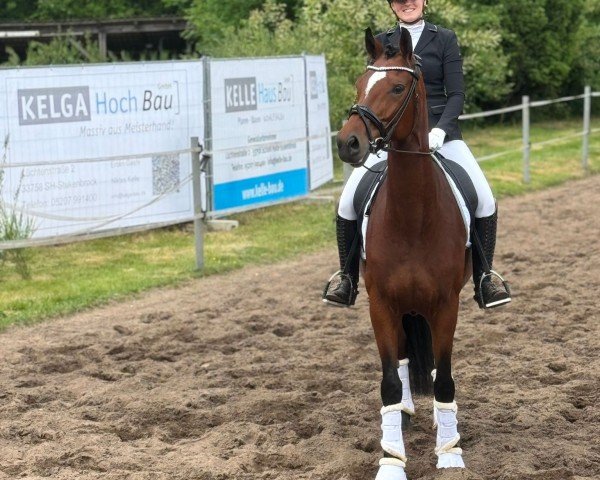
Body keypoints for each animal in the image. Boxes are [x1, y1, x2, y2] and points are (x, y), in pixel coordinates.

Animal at [338, 28, 468, 478]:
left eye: (397, 87)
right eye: (360, 83)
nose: (348, 143)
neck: (413, 216)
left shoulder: (447, 303)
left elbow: (444, 377)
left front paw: (450, 453)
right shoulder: (382, 304)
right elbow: (391, 382)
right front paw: (391, 459)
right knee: (405, 359)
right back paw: (409, 415)